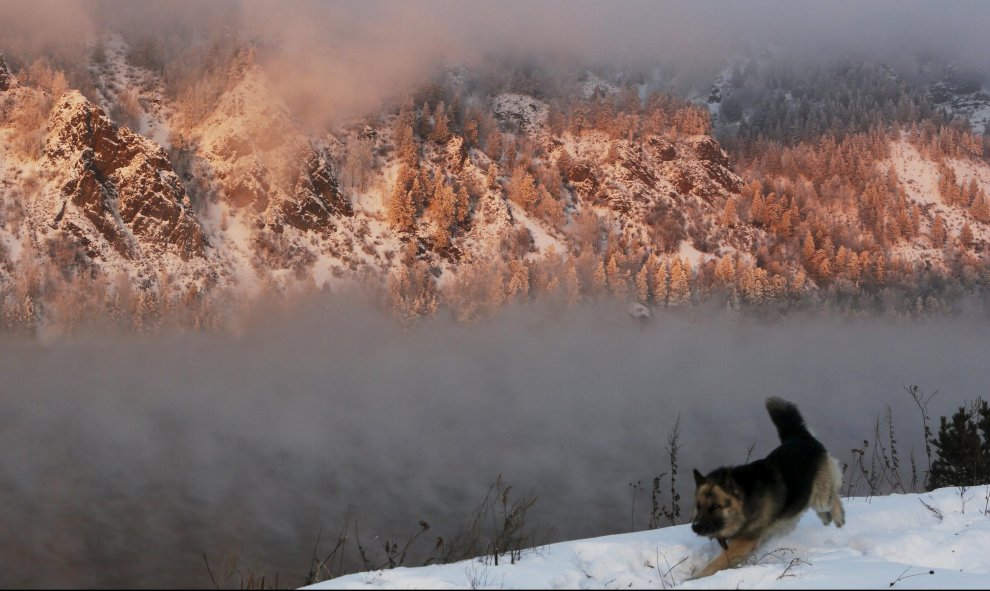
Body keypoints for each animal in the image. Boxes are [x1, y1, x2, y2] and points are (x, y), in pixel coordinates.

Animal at [688, 396, 844, 580]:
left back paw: (838, 517)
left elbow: (717, 563)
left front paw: (693, 579)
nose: (695, 527)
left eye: (714, 507)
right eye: (698, 506)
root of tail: (800, 435)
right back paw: (826, 518)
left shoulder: (745, 540)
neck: (745, 498)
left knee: (833, 495)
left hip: (822, 496)